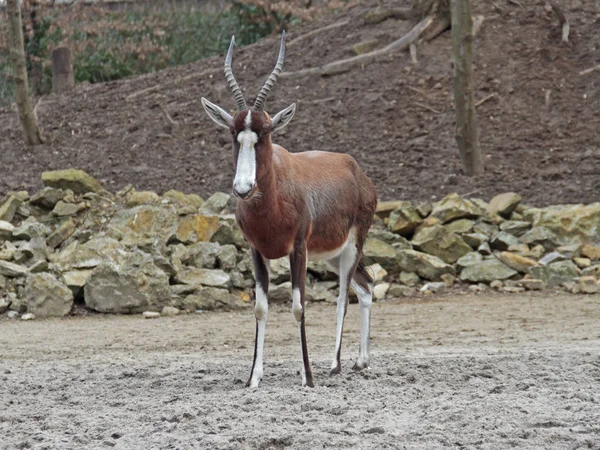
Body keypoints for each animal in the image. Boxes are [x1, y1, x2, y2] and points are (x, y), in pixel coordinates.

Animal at [204, 31, 378, 386]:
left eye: (266, 131)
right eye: (233, 132)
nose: (243, 188)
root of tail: (356, 170)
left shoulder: (297, 249)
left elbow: (299, 307)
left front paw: (307, 378)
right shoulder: (257, 252)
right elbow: (260, 308)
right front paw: (253, 379)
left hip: (352, 246)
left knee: (343, 298)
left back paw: (335, 365)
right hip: (332, 254)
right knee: (366, 286)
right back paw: (360, 361)